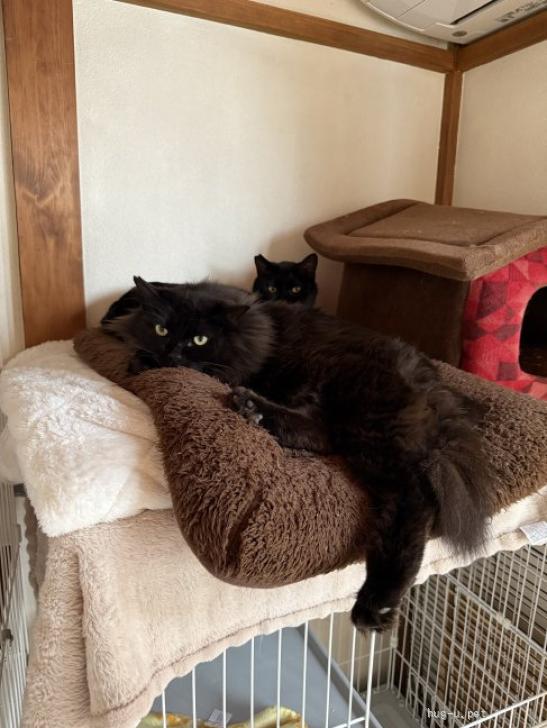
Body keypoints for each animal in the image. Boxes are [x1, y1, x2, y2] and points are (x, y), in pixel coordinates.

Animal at [104, 277, 494, 631]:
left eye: (200, 339)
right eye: (161, 329)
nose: (173, 355)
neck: (255, 329)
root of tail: (437, 392)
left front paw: (144, 362)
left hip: (365, 420)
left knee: (410, 498)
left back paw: (376, 606)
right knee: (321, 435)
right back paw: (253, 409)